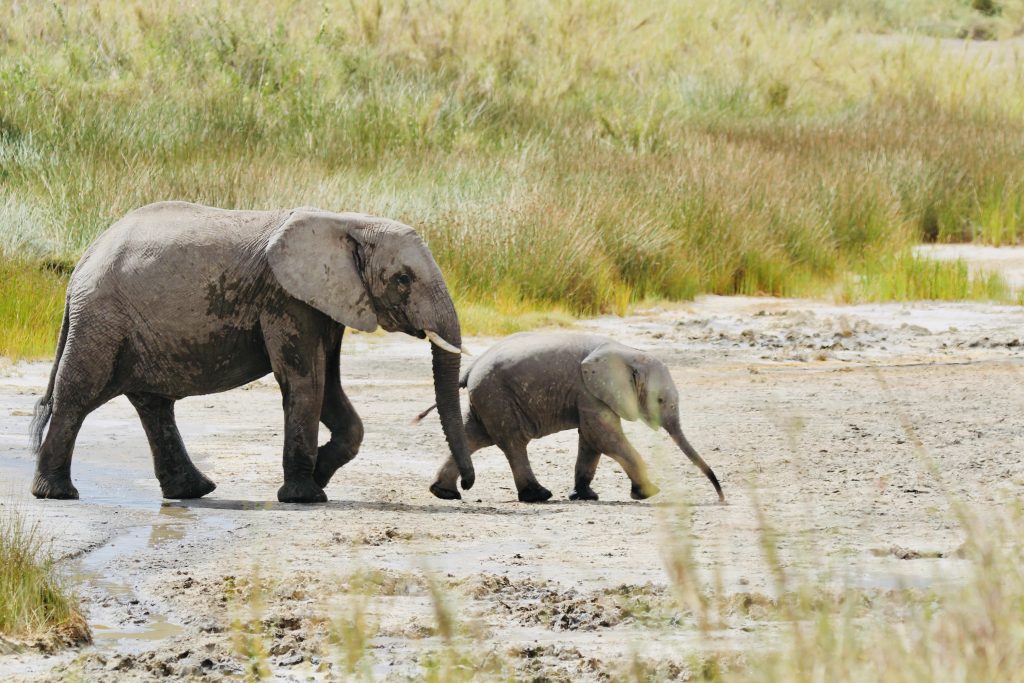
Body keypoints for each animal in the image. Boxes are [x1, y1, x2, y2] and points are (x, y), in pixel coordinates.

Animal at [29, 200, 475, 505]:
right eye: (403, 279)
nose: (460, 488)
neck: (346, 221)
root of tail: (82, 262)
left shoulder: (322, 303)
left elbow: (330, 386)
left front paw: (320, 475)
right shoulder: (286, 298)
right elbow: (305, 380)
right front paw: (305, 496)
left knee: (153, 405)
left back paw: (194, 491)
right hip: (102, 319)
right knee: (78, 395)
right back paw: (56, 494)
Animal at [411, 333, 724, 505]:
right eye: (660, 402)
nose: (721, 497)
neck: (628, 352)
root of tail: (470, 368)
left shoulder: (588, 394)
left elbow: (591, 440)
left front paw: (585, 495)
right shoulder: (588, 390)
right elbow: (603, 436)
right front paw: (649, 492)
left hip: (487, 398)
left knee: (473, 436)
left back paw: (444, 492)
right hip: (497, 396)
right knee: (513, 442)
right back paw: (538, 495)